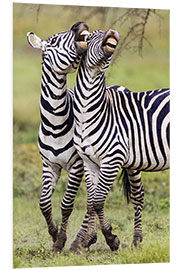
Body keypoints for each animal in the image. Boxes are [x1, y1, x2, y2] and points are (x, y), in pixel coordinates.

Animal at [26, 22, 95, 252]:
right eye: (54, 41)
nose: (80, 25)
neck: (55, 124)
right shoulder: (50, 165)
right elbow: (44, 203)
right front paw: (54, 234)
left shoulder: (76, 166)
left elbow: (66, 204)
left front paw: (61, 240)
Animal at [71, 29, 169, 251]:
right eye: (90, 36)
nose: (113, 32)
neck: (88, 112)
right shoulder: (90, 162)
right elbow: (91, 201)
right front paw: (84, 240)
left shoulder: (112, 159)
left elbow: (98, 201)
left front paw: (111, 238)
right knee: (138, 194)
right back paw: (136, 240)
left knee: (137, 195)